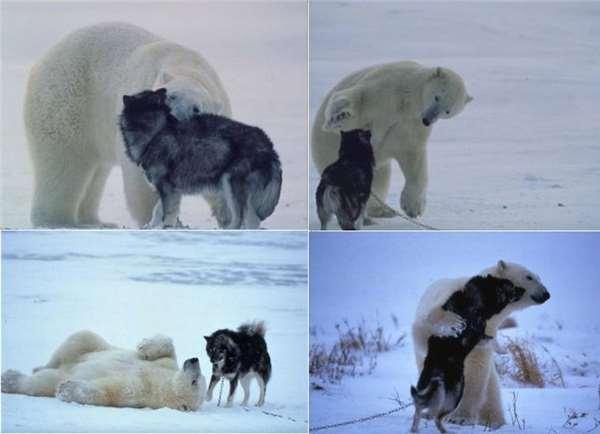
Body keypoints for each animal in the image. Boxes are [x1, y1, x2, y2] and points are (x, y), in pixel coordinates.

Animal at [0, 330, 206, 412]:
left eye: (195, 381)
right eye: (199, 377)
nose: (195, 360)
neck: (163, 383)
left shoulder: (140, 391)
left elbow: (108, 391)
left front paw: (67, 389)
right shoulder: (167, 365)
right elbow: (168, 350)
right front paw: (145, 346)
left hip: (57, 375)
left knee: (41, 382)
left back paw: (9, 379)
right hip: (88, 346)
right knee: (81, 338)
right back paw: (39, 366)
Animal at [24, 22, 230, 229]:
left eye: (196, 109)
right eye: (169, 98)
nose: (173, 118)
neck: (187, 67)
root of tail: (43, 59)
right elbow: (141, 179)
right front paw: (156, 220)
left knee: (96, 173)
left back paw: (96, 221)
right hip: (68, 104)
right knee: (64, 164)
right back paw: (58, 221)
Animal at [120, 89, 284, 229]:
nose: (164, 90)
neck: (156, 133)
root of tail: (269, 146)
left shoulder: (167, 188)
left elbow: (168, 213)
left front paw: (165, 227)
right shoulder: (170, 189)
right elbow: (158, 211)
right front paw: (153, 227)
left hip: (230, 183)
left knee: (239, 219)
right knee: (252, 220)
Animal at [412, 260, 548, 428]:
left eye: (539, 277)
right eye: (529, 277)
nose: (546, 294)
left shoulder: (485, 335)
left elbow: (475, 374)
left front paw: (461, 418)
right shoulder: (450, 299)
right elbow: (428, 324)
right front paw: (454, 323)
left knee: (491, 394)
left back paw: (494, 421)